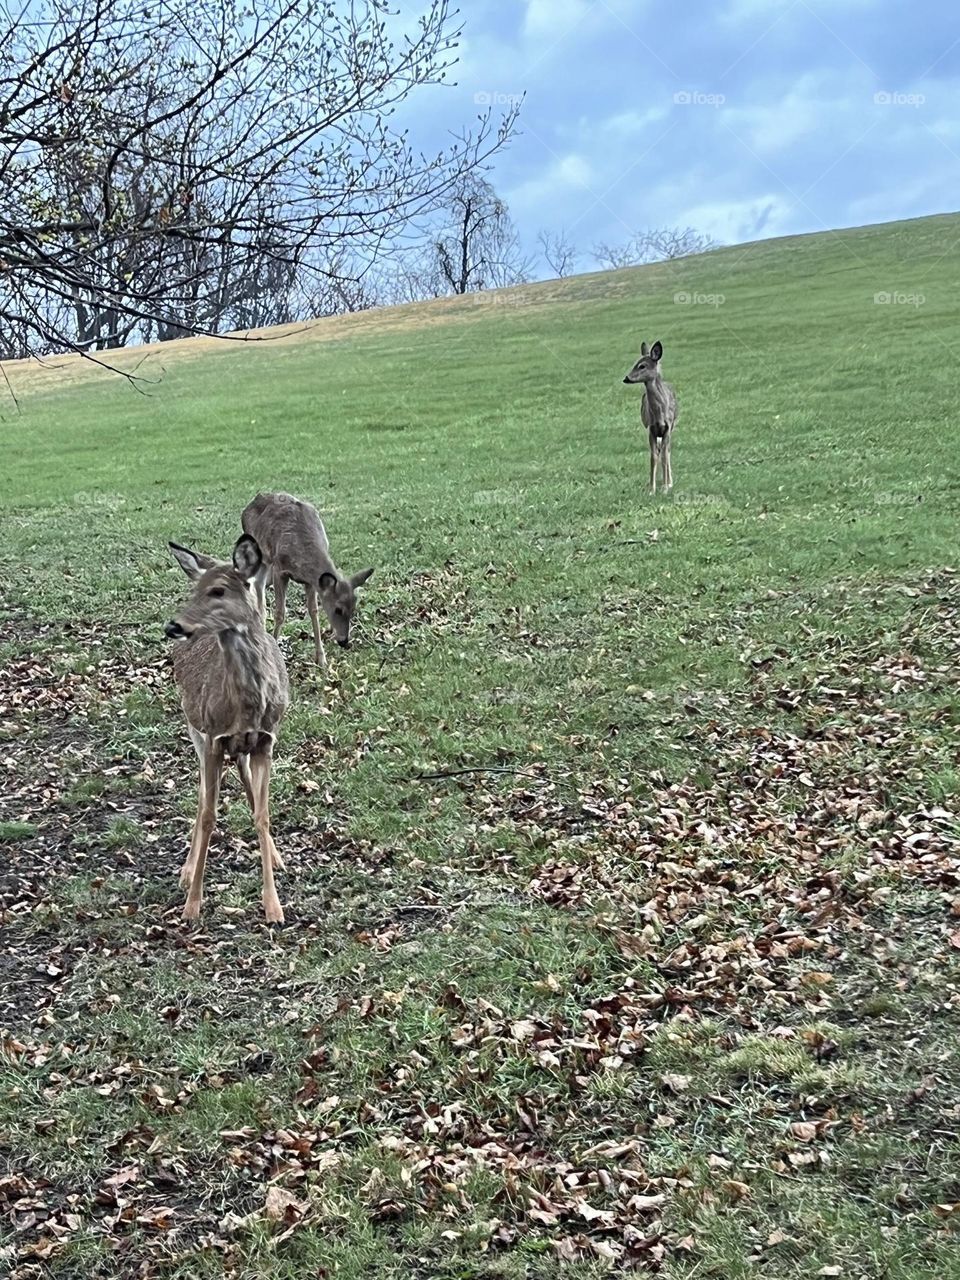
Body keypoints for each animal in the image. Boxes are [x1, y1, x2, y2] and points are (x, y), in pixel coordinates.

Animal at [164, 534, 290, 924]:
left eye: (218, 590)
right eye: (194, 589)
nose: (173, 626)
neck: (246, 708)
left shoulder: (266, 740)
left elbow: (262, 814)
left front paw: (273, 907)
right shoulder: (213, 738)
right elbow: (208, 815)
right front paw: (192, 904)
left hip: (240, 747)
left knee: (243, 778)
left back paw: (276, 857)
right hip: (194, 728)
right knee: (201, 793)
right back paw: (186, 870)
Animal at [241, 491, 374, 667]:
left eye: (353, 608)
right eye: (338, 609)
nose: (344, 641)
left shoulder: (311, 582)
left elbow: (313, 611)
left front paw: (321, 658)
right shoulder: (279, 570)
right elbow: (280, 613)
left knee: (258, 583)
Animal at [623, 340, 678, 494]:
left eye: (642, 366)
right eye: (635, 363)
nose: (626, 378)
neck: (659, 413)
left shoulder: (667, 428)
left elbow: (664, 455)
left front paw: (665, 487)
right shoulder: (651, 428)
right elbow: (653, 456)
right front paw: (651, 489)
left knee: (667, 451)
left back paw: (670, 482)